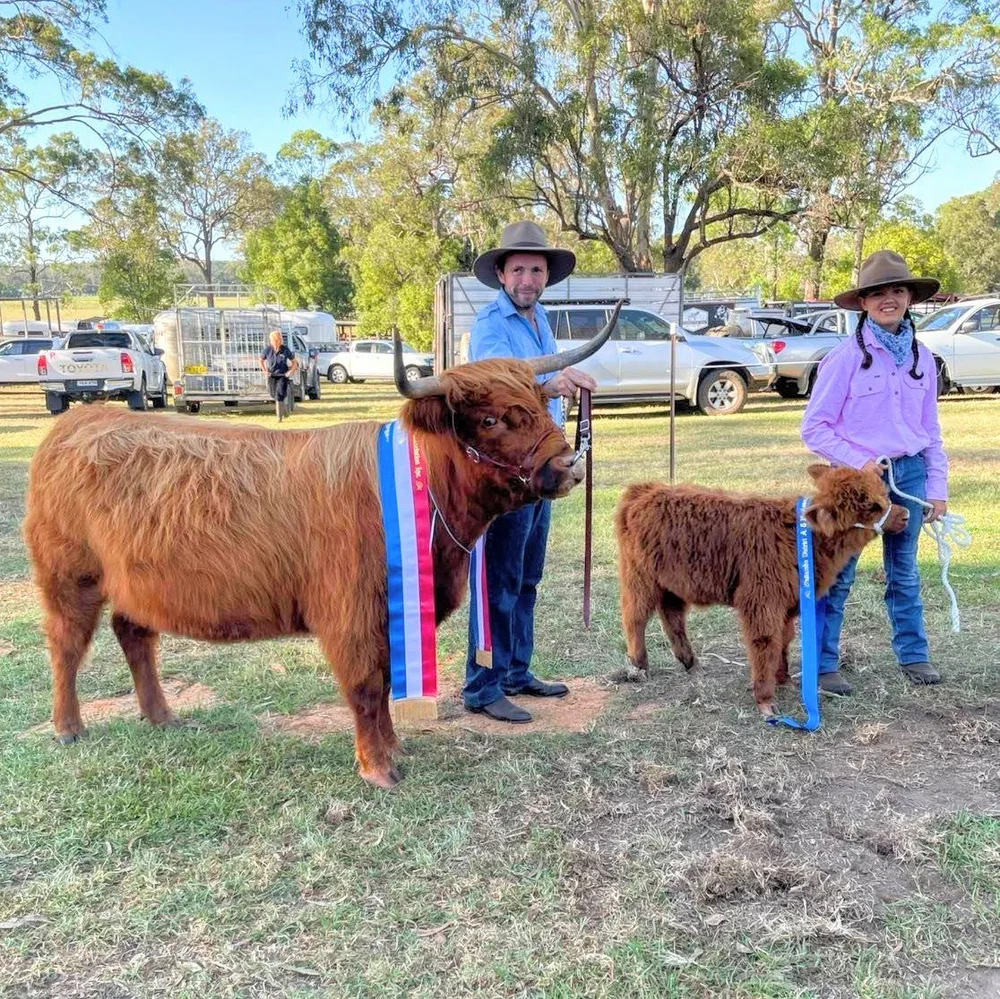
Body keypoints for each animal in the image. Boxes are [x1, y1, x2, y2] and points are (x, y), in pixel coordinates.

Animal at [23, 308, 620, 790]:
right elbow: (366, 686)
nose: (570, 466)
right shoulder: (350, 615)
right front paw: (378, 768)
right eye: (491, 419)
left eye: (539, 403)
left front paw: (393, 748)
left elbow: (385, 684)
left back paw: (162, 716)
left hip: (134, 583)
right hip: (70, 578)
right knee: (67, 646)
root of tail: (80, 421)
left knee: (135, 636)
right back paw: (68, 728)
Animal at [614, 464, 909, 715]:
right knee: (635, 617)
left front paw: (785, 679)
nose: (905, 514)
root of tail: (645, 489)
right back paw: (639, 665)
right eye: (871, 506)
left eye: (884, 494)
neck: (801, 539)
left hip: (672, 583)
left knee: (672, 617)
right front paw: (766, 700)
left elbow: (784, 639)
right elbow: (765, 642)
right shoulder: (761, 600)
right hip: (640, 577)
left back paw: (691, 663)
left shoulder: (787, 602)